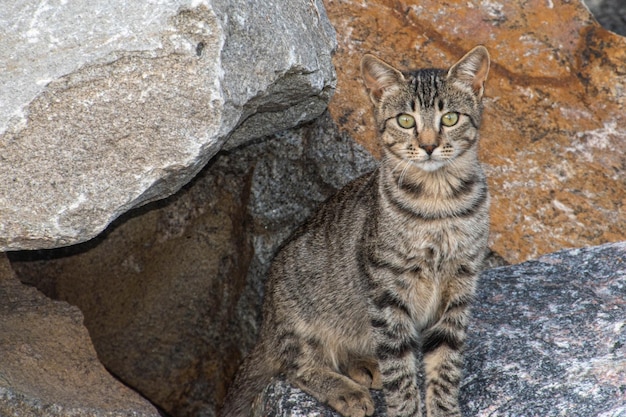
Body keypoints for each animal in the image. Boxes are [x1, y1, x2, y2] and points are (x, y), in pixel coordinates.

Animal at [222, 45, 490, 416]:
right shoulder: (387, 290)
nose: (429, 146)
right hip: (300, 314)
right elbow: (400, 369)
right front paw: (405, 408)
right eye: (405, 121)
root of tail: (267, 324)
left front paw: (444, 409)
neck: (438, 202)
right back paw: (347, 392)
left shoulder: (460, 287)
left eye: (450, 118)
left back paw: (365, 365)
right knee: (295, 366)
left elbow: (445, 364)